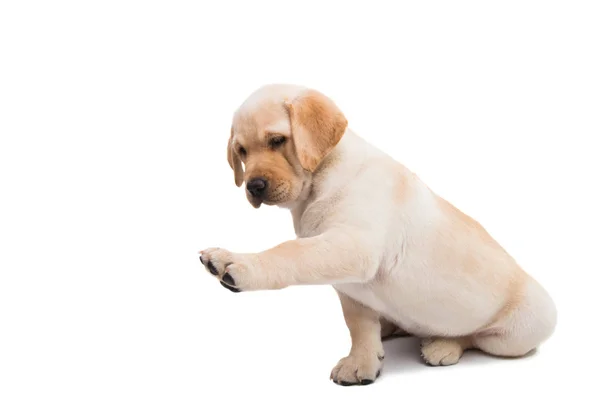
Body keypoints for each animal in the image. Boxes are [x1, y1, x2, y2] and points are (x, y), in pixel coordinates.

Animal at [200, 83, 556, 384]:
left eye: (277, 140)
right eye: (241, 151)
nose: (253, 186)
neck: (318, 182)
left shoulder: (353, 247)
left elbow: (289, 252)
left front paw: (237, 264)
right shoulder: (351, 285)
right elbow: (359, 324)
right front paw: (363, 361)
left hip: (519, 332)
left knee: (475, 338)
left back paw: (443, 345)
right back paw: (392, 325)